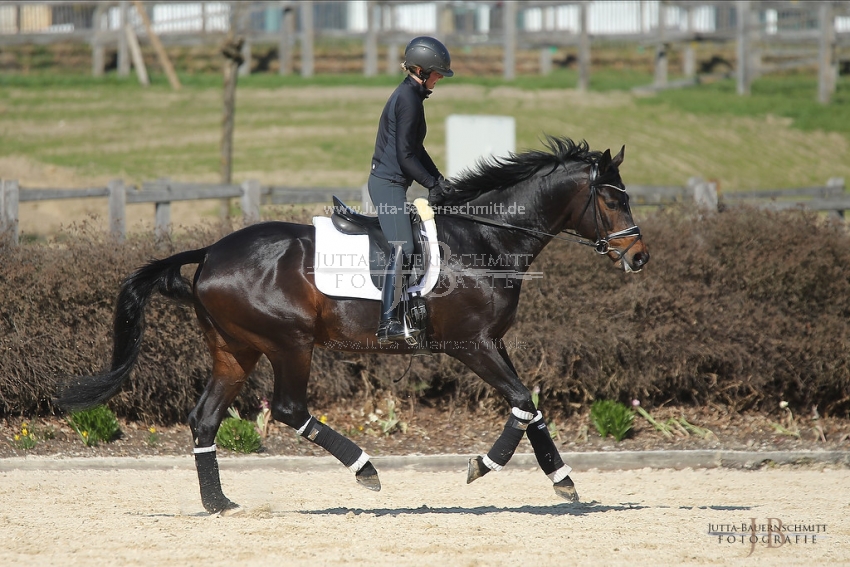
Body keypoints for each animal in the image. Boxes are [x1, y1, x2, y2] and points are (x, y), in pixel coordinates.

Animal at [54, 136, 648, 516]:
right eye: (612, 198)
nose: (640, 257)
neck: (485, 238)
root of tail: (211, 253)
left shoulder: (492, 343)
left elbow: (531, 405)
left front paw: (561, 480)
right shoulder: (470, 344)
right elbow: (522, 400)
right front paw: (485, 465)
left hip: (235, 351)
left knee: (204, 420)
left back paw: (218, 503)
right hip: (289, 343)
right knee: (288, 408)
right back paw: (364, 469)